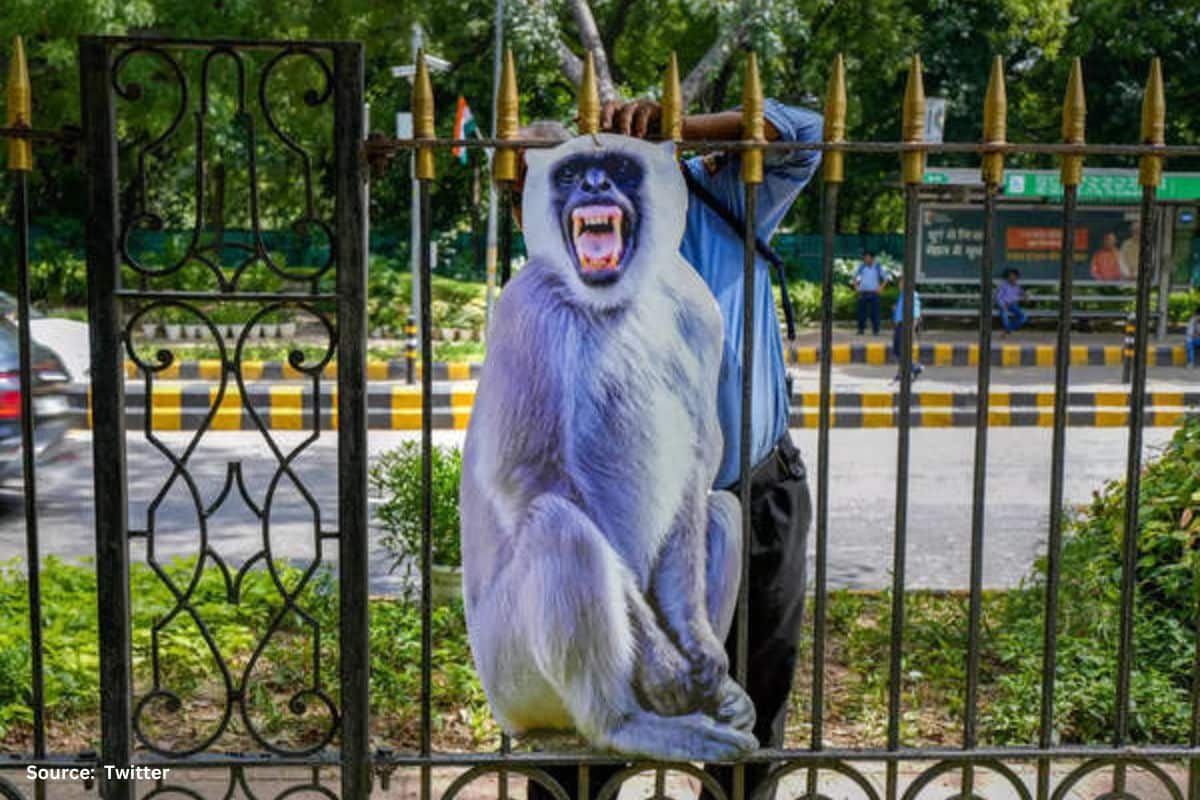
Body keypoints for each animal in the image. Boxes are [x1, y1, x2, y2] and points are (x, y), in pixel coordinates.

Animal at [460, 133, 757, 762]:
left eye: (619, 166)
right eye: (574, 174)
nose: (596, 184)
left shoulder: (697, 309)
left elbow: (698, 465)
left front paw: (698, 647)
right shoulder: (526, 306)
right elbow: (527, 477)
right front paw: (666, 664)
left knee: (722, 508)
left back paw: (716, 696)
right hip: (511, 674)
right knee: (559, 525)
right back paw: (624, 723)